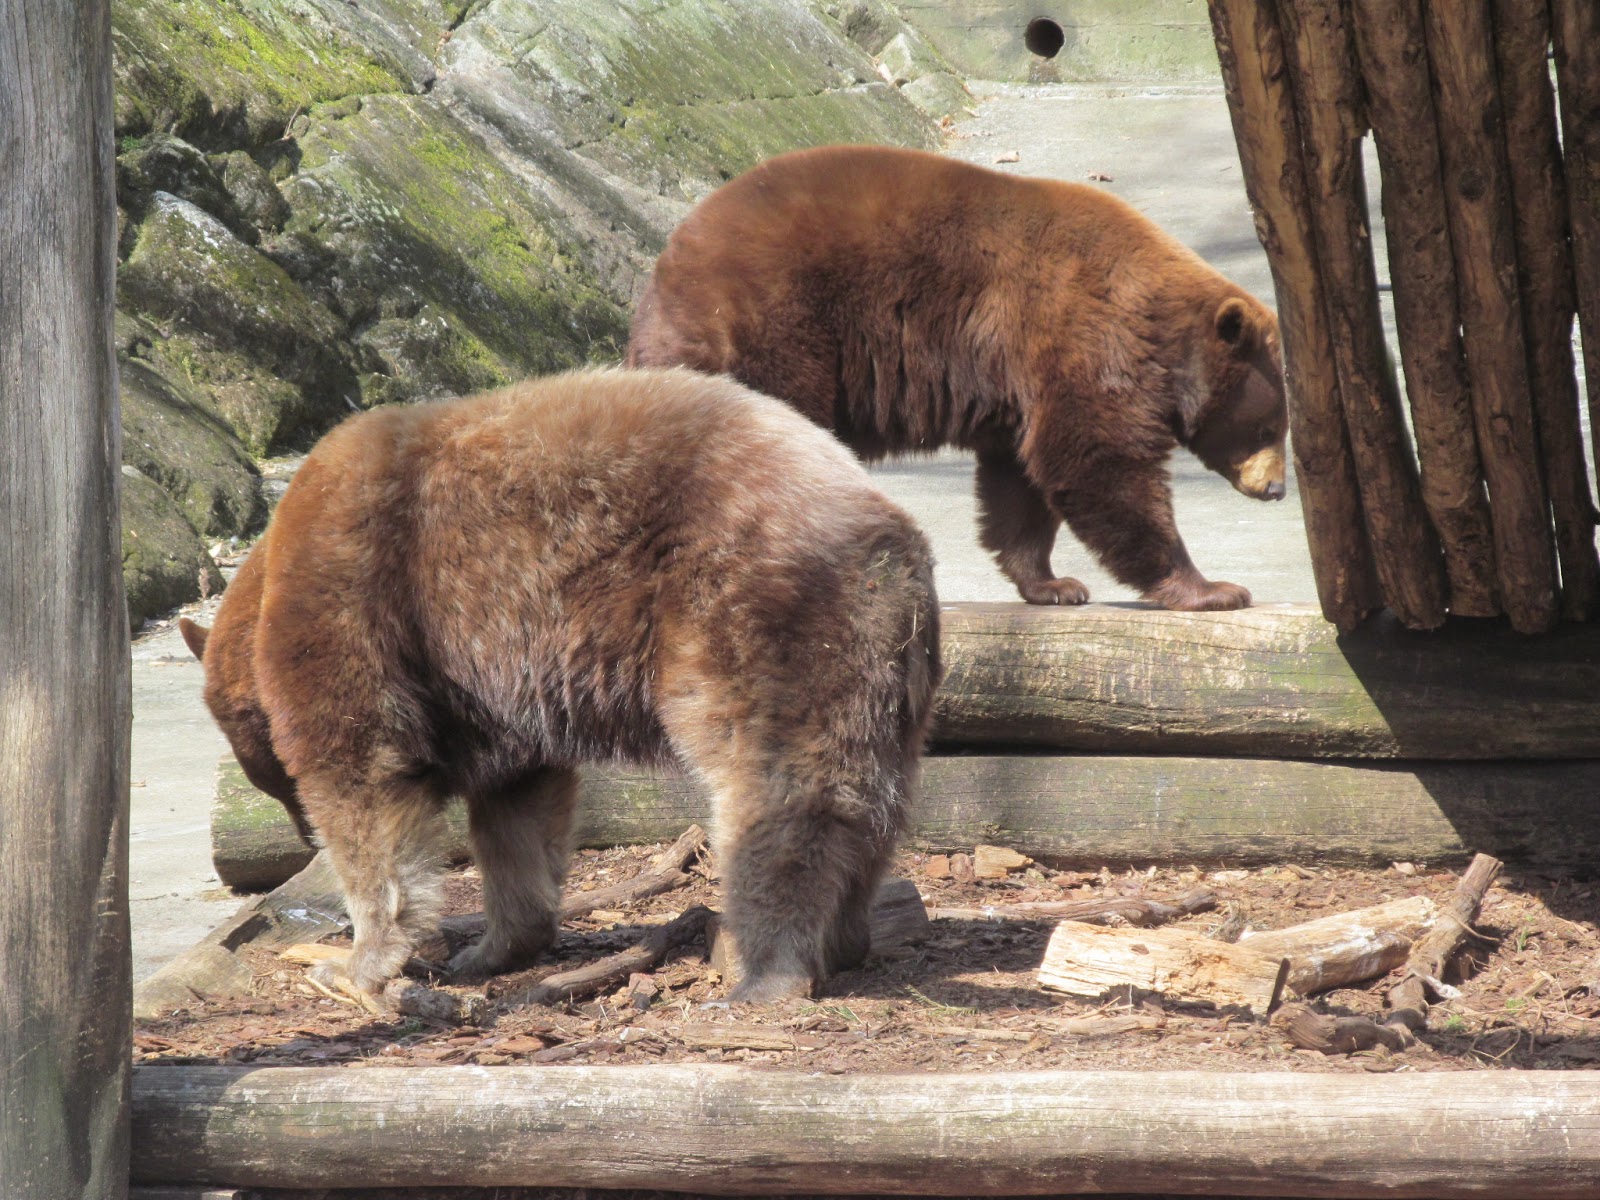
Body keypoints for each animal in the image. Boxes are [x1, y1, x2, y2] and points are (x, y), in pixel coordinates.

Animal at [180, 367, 941, 1003]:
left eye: (269, 777)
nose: (299, 841)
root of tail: (892, 538)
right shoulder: (491, 697)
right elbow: (516, 813)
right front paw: (490, 948)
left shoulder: (359, 598)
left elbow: (363, 778)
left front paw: (359, 962)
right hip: (883, 668)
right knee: (876, 796)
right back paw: (845, 937)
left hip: (756, 607)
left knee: (778, 793)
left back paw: (767, 969)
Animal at [627, 144, 1288, 611]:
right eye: (1269, 428)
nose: (1277, 489)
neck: (1160, 334)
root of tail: (667, 272)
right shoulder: (1084, 333)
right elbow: (1100, 462)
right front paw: (1214, 588)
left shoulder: (1020, 384)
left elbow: (1021, 479)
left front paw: (1053, 583)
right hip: (778, 332)